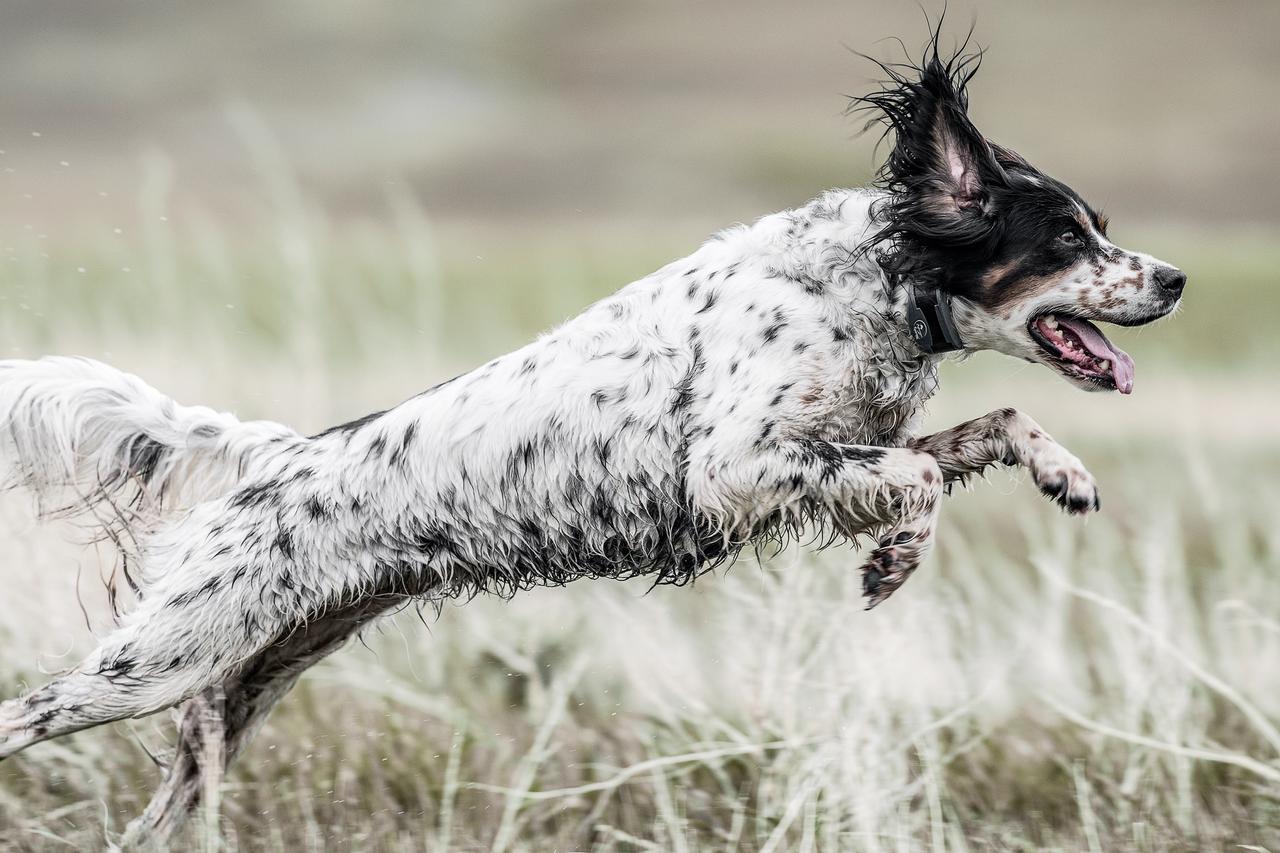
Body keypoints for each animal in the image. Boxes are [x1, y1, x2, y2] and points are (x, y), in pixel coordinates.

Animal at [0, 28, 1187, 845]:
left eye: (1103, 227)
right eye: (1067, 237)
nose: (1174, 279)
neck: (877, 276)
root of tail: (282, 455)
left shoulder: (829, 452)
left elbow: (992, 424)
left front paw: (1065, 474)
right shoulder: (739, 464)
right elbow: (914, 478)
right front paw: (894, 560)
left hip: (240, 683)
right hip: (156, 661)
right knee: (25, 711)